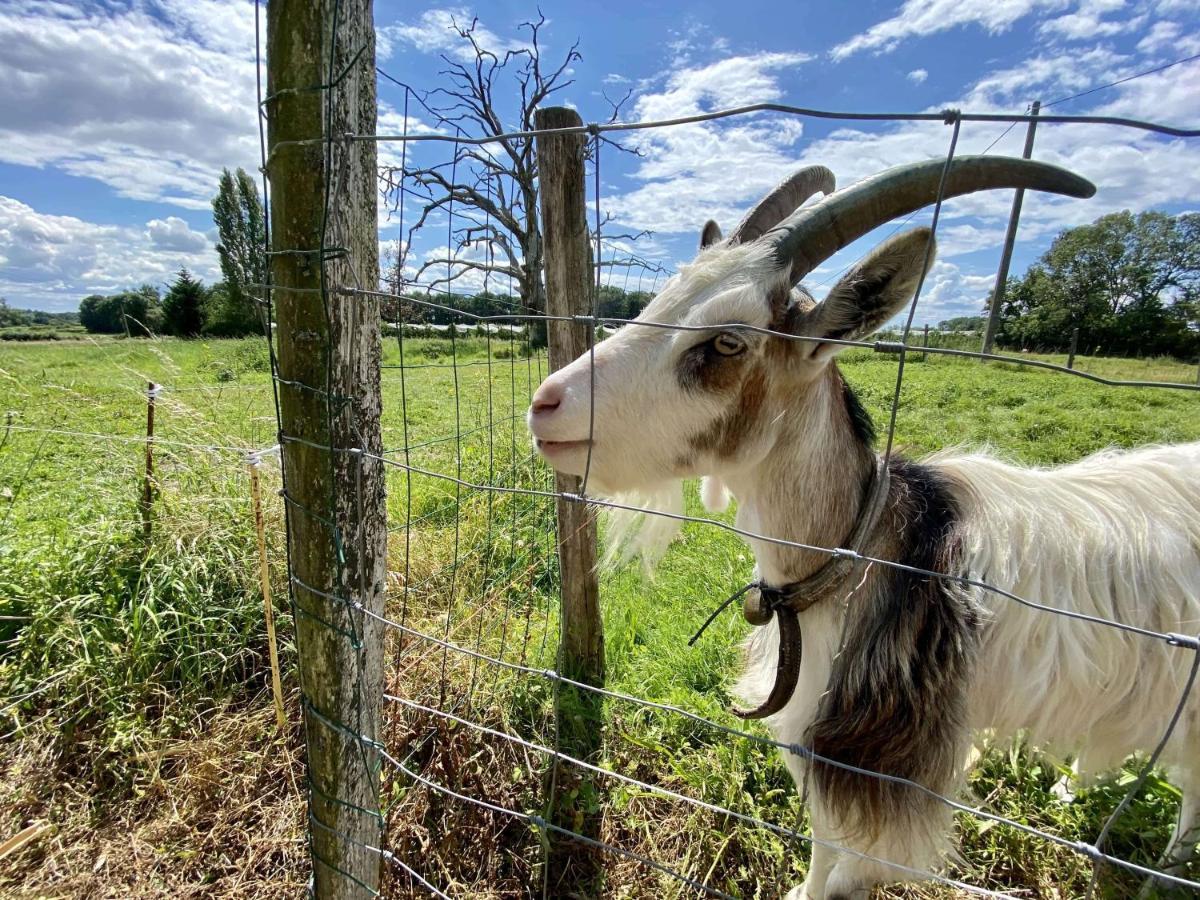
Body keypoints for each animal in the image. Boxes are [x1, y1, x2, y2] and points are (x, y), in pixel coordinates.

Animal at [530, 157, 1200, 900]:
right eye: (658, 302)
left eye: (727, 340)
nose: (545, 404)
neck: (860, 553)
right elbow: (823, 835)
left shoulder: (872, 755)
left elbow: (844, 846)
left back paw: (1166, 869)